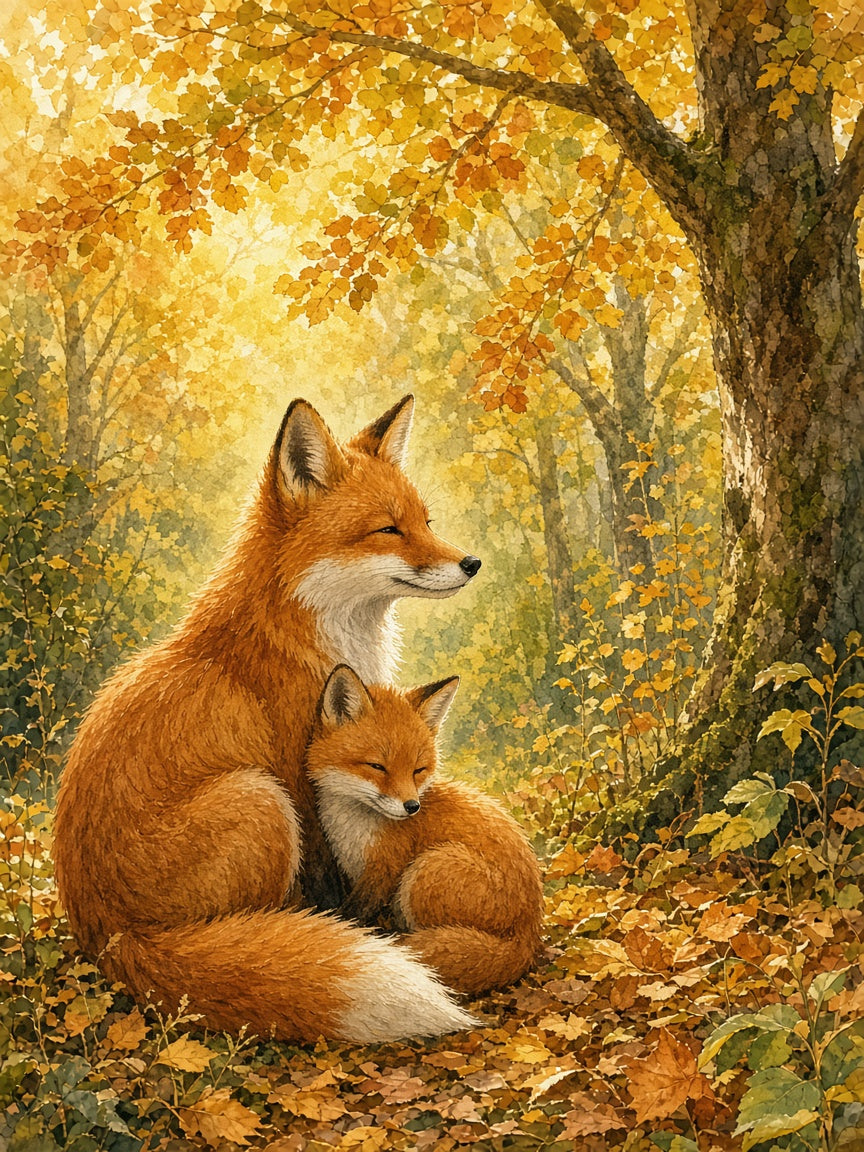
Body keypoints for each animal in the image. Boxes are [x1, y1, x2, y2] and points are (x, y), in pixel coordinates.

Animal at [53, 394, 483, 1043]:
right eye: (388, 528)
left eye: (427, 522)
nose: (473, 562)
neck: (305, 640)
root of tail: (111, 939)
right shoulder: (300, 773)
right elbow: (329, 865)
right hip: (260, 799)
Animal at [306, 665, 544, 996]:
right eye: (377, 766)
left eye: (417, 770)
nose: (412, 807)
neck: (355, 824)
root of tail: (528, 938)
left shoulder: (385, 869)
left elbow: (355, 911)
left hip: (429, 867)